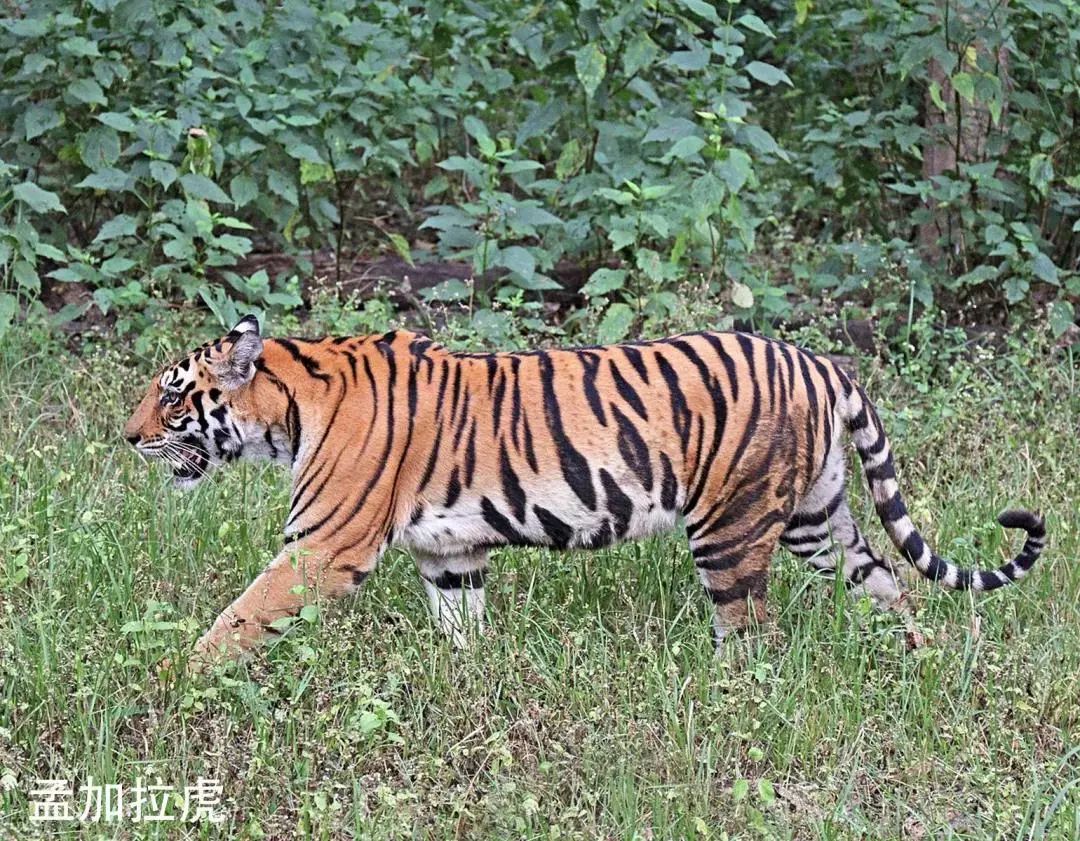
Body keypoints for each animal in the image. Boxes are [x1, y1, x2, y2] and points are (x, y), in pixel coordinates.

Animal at [124, 315, 1045, 665]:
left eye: (172, 394)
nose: (127, 436)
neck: (289, 408)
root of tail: (819, 359)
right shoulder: (451, 553)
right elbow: (462, 630)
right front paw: (467, 687)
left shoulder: (322, 548)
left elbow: (239, 616)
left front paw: (175, 676)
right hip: (817, 518)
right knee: (885, 583)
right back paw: (919, 663)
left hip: (732, 527)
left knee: (752, 633)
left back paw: (728, 699)